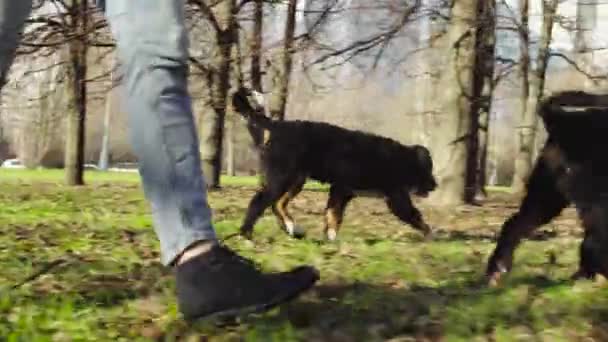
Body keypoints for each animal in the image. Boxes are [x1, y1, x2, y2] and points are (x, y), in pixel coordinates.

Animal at [229, 87, 436, 240]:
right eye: (428, 169)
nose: (435, 185)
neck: (399, 158)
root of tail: (278, 125)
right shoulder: (395, 197)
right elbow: (415, 216)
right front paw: (431, 235)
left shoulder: (341, 190)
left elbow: (333, 214)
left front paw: (330, 237)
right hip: (282, 178)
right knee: (259, 202)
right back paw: (246, 233)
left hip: (296, 180)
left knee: (278, 204)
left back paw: (292, 228)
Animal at [486, 91, 608, 286]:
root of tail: (561, 120)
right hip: (592, 195)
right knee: (596, 236)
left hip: (547, 194)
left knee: (517, 222)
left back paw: (497, 267)